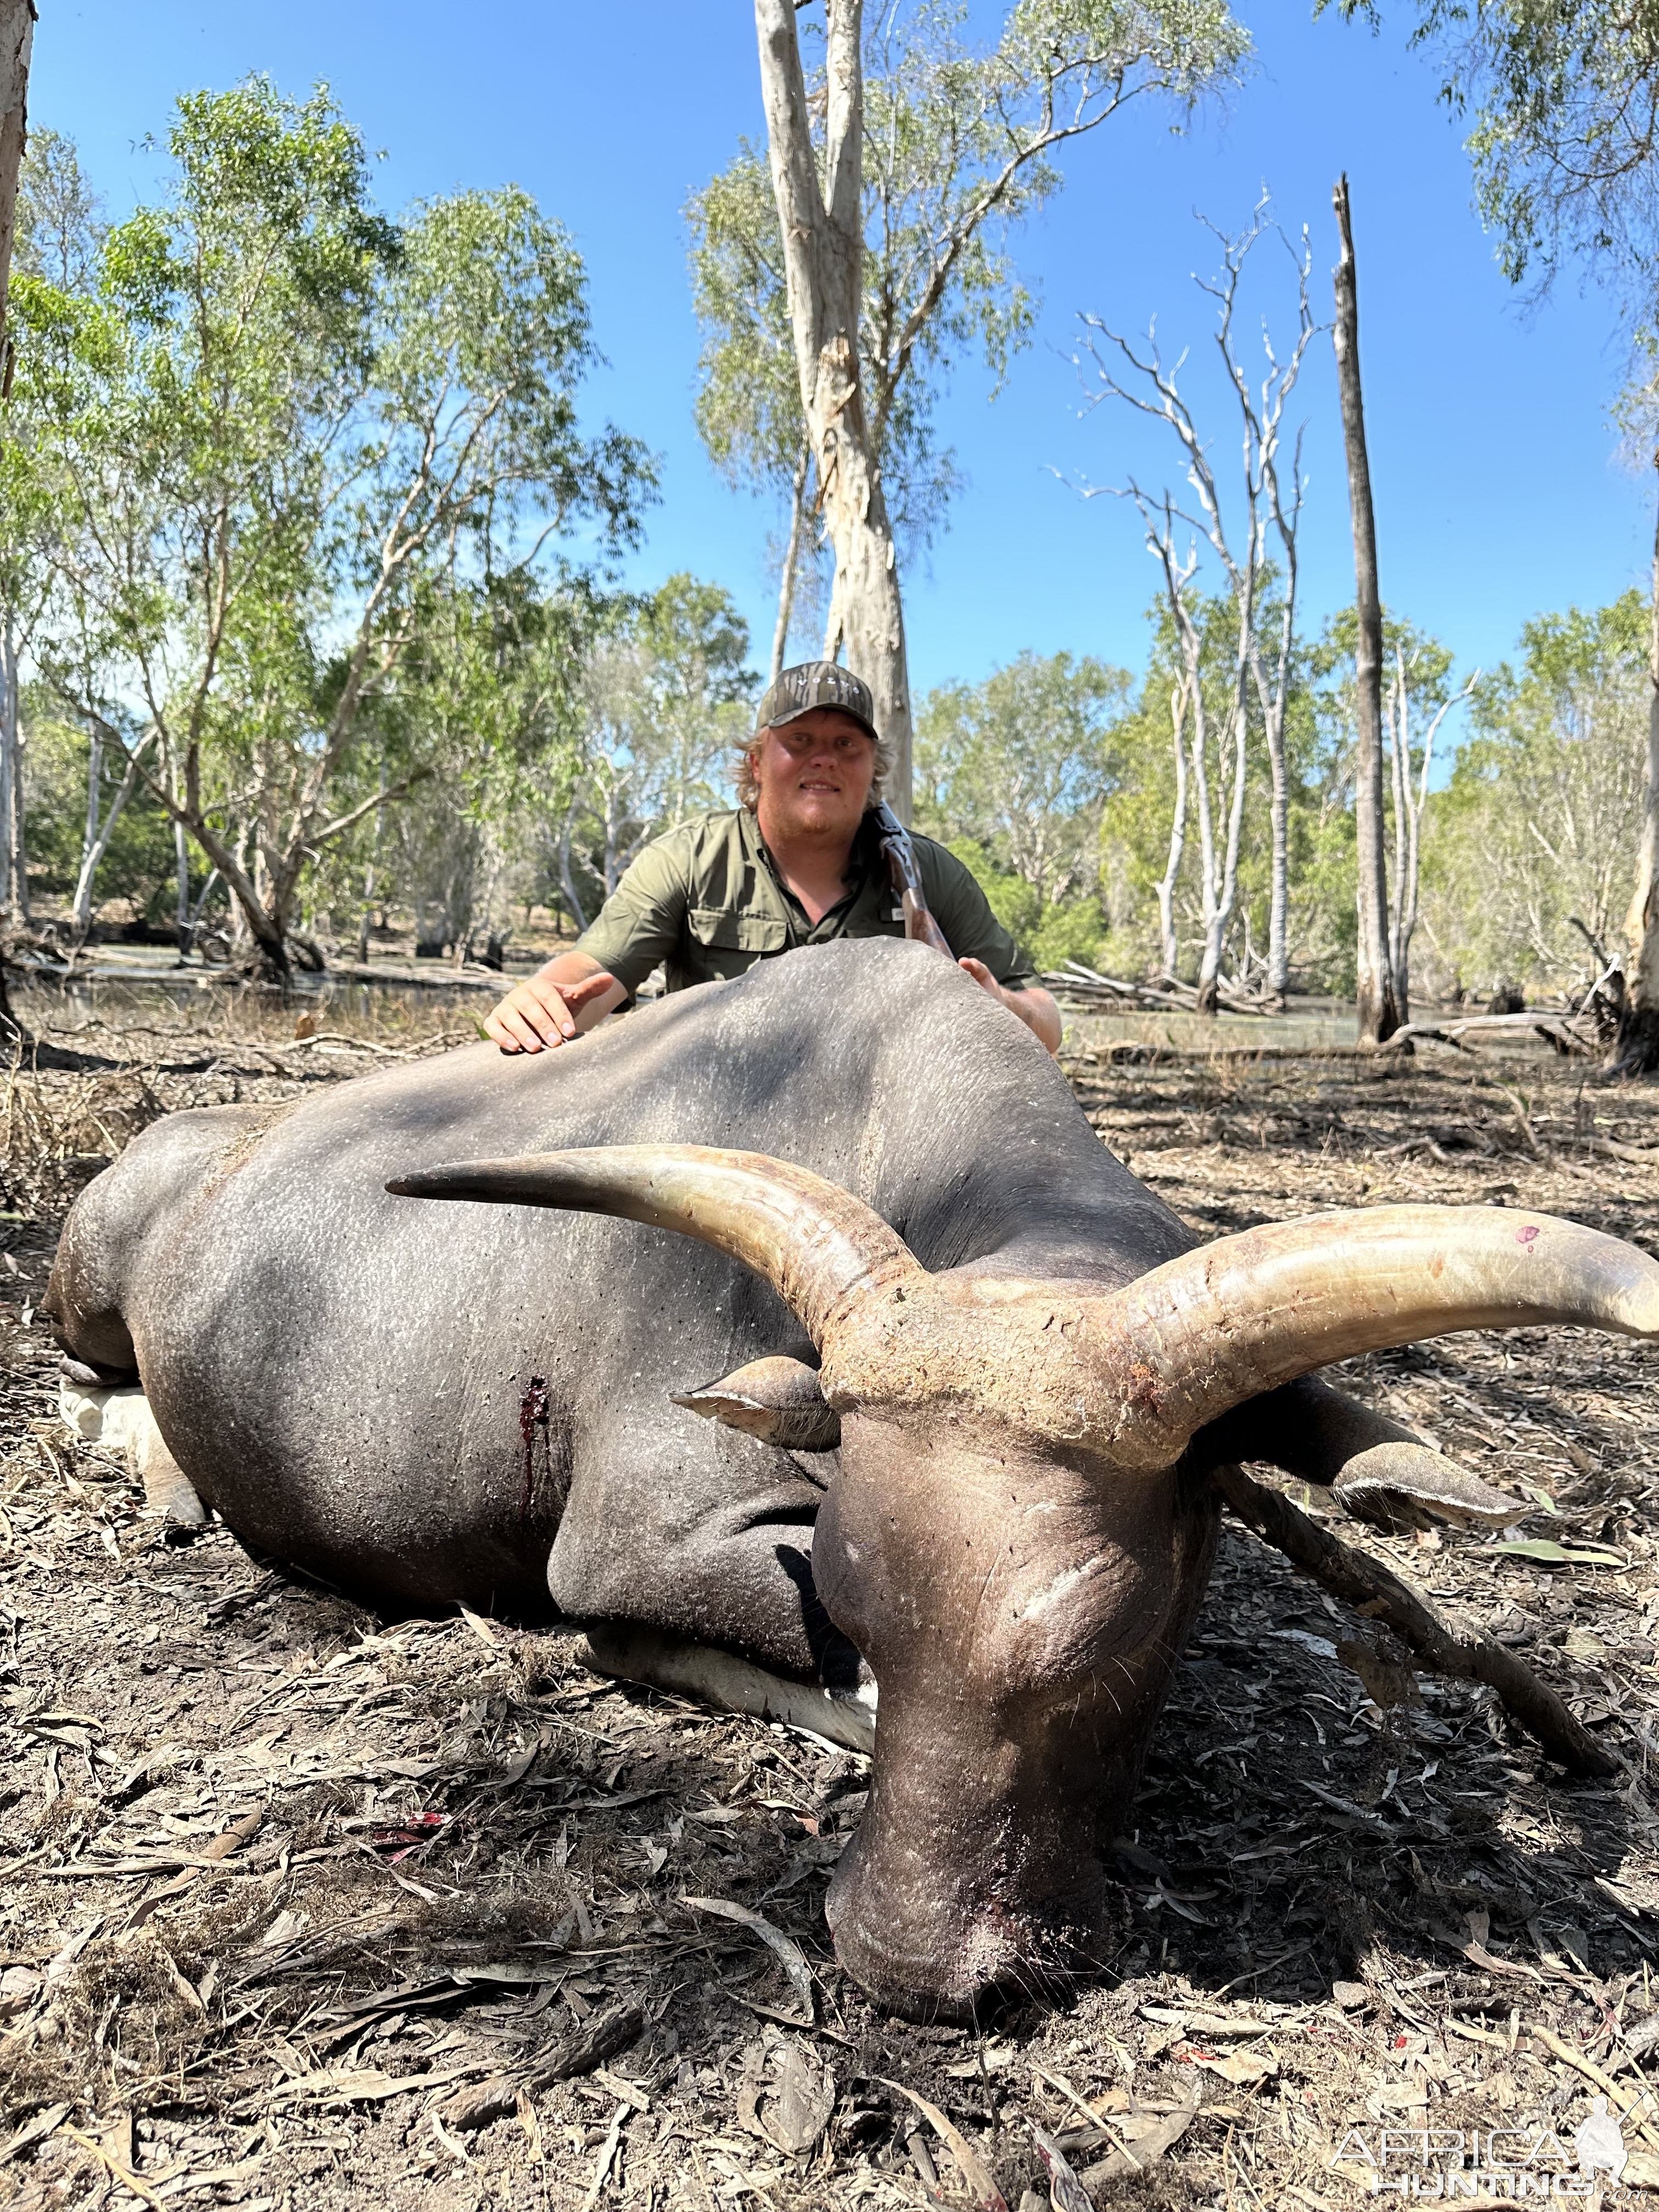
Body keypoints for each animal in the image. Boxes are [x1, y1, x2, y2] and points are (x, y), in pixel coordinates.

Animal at [42, 942, 1659, 2017]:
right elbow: (727, 1643)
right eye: (854, 1595)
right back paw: (166, 1483)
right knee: (82, 1381)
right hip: (80, 1288)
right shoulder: (636, 1541)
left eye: (1111, 1632)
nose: (907, 1964)